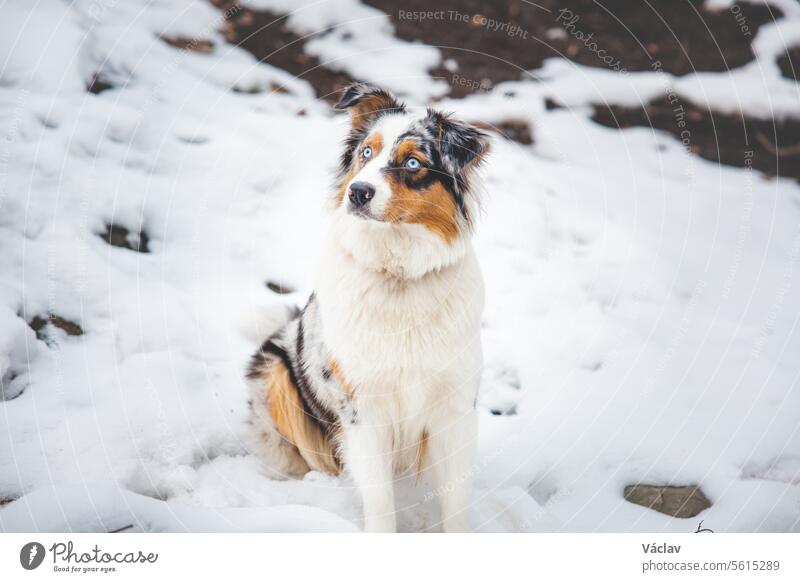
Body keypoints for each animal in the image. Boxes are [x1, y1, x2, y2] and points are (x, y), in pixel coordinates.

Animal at [247, 83, 490, 532]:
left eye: (412, 162)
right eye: (366, 152)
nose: (357, 191)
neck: (398, 275)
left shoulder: (454, 405)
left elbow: (456, 498)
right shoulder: (362, 406)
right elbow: (379, 498)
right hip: (275, 374)